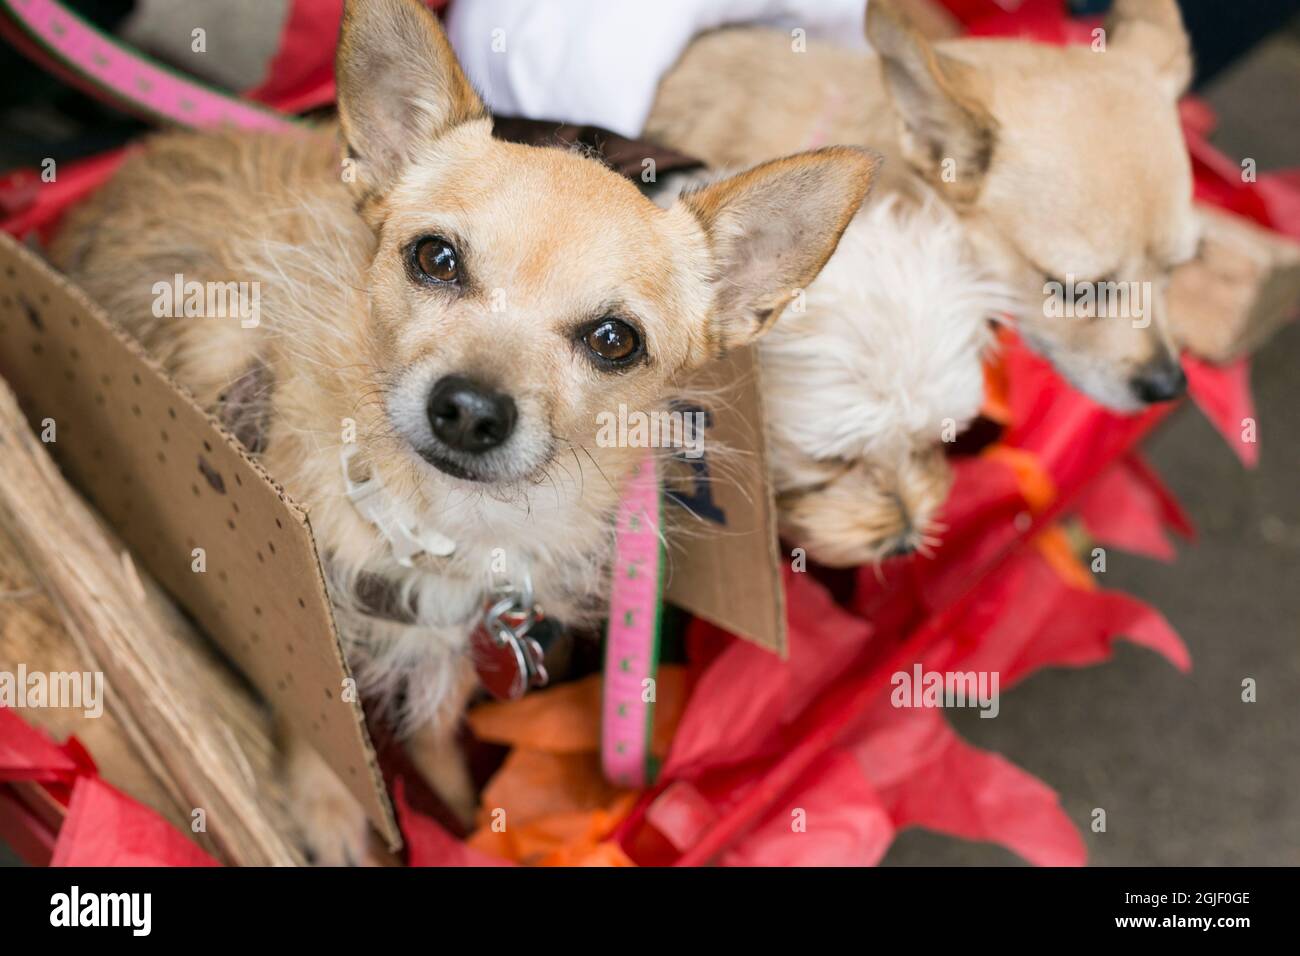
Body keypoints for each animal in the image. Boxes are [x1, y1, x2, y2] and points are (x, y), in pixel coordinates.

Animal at [55, 0, 878, 868]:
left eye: (613, 340)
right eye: (436, 257)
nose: (471, 410)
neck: (437, 523)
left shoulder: (449, 646)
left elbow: (437, 728)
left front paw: (454, 816)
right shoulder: (291, 599)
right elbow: (309, 708)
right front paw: (330, 809)